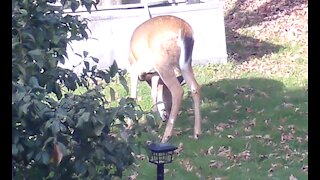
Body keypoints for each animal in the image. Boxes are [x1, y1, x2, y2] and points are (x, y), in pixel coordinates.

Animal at [128, 14, 201, 143]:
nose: (166, 115)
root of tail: (184, 30)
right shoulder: (155, 74)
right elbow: (154, 94)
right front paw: (156, 120)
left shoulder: (134, 67)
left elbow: (133, 96)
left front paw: (129, 126)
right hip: (185, 63)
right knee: (195, 87)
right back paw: (196, 133)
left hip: (163, 62)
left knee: (178, 91)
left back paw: (166, 136)